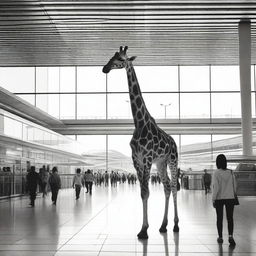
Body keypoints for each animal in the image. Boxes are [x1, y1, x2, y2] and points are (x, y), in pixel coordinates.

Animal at [101, 46, 178, 240]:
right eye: (111, 56)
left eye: (121, 58)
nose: (105, 68)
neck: (139, 123)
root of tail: (173, 142)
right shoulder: (136, 159)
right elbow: (142, 192)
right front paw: (144, 228)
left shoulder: (147, 157)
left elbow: (146, 192)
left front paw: (144, 230)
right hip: (161, 162)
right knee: (167, 187)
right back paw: (163, 226)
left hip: (172, 160)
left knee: (174, 187)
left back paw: (175, 225)